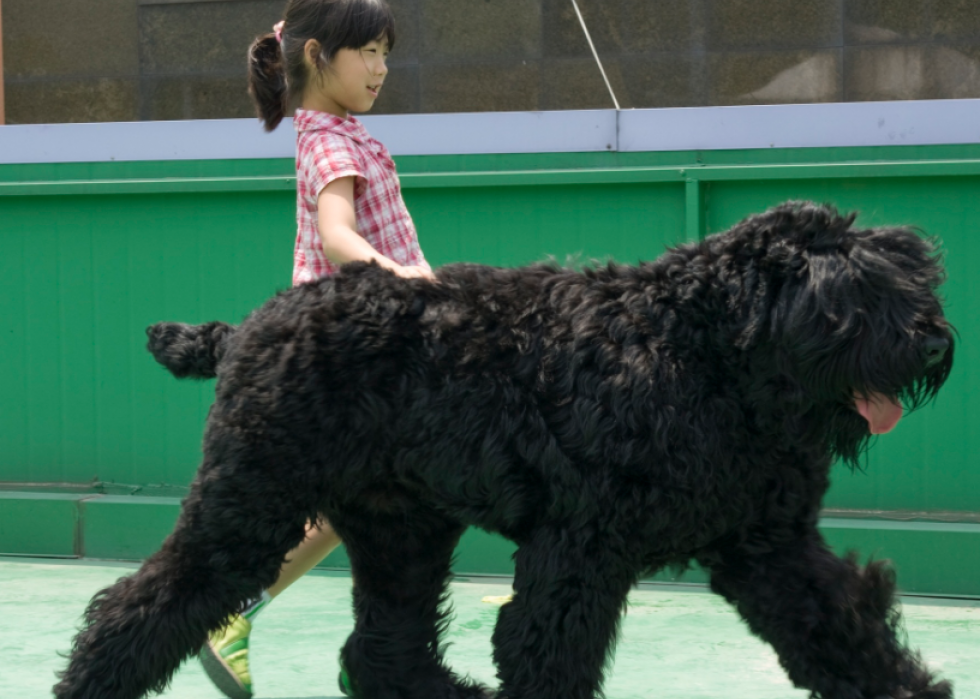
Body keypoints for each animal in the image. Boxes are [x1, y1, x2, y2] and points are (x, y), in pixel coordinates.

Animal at [57, 202, 952, 699]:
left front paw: (909, 688)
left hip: (401, 533)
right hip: (248, 509)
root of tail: (246, 325)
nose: (934, 339)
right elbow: (544, 650)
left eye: (916, 276)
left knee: (381, 649)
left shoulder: (769, 546)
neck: (702, 349)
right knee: (135, 608)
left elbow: (841, 626)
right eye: (854, 294)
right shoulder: (579, 549)